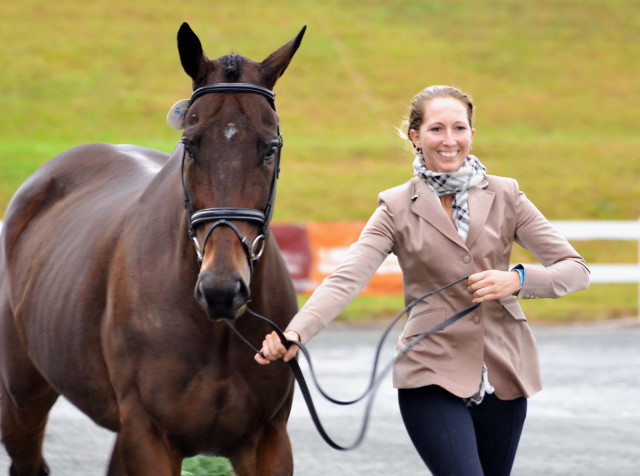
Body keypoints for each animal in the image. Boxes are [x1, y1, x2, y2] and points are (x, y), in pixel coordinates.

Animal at [0, 22, 304, 476]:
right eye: (190, 144)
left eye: (270, 146)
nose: (221, 289)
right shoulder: (149, 436)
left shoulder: (268, 440)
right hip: (22, 399)